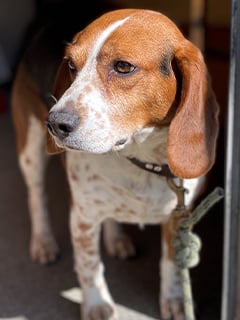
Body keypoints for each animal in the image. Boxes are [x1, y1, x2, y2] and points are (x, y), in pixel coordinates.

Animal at [12, 7, 220, 320]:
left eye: (123, 67)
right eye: (71, 65)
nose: (55, 123)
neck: (144, 160)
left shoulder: (178, 217)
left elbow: (171, 261)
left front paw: (175, 300)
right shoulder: (83, 215)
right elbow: (89, 264)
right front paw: (97, 304)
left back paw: (116, 239)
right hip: (31, 148)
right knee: (37, 195)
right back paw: (43, 242)